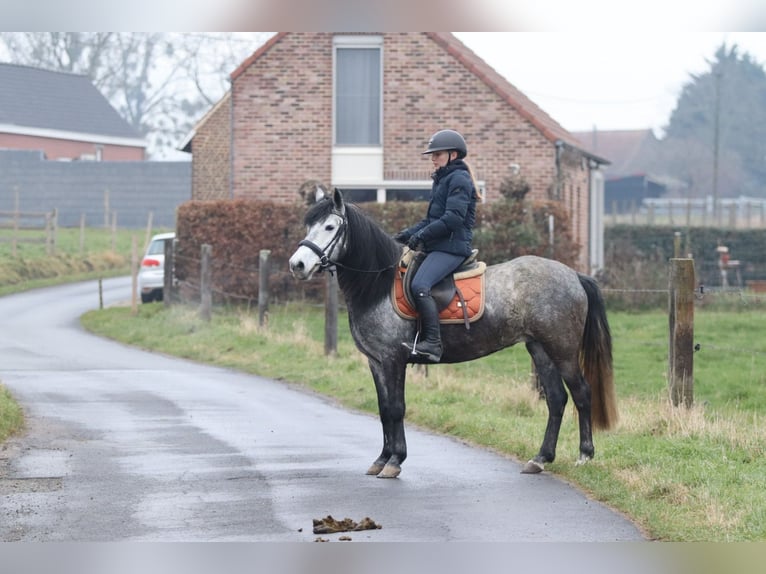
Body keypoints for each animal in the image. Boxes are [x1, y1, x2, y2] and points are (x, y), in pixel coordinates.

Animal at [288, 188, 617, 478]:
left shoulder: (394, 360)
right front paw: (381, 459)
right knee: (556, 399)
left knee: (581, 393)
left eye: (330, 226)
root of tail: (573, 274)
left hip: (562, 350)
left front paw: (395, 461)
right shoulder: (376, 362)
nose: (297, 265)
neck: (379, 285)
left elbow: (396, 408)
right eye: (308, 224)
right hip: (540, 349)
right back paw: (540, 458)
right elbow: (383, 409)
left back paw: (585, 455)